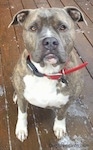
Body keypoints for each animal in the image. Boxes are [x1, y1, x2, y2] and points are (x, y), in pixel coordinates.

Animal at [9, 6, 87, 142]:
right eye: (33, 28)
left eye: (63, 27)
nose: (50, 41)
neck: (47, 73)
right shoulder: (23, 99)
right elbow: (22, 114)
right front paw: (21, 129)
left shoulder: (69, 101)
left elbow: (61, 114)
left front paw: (59, 127)